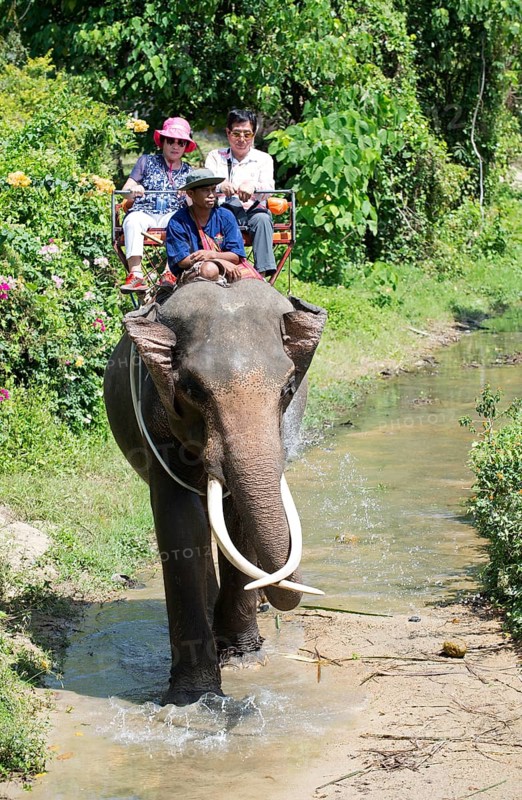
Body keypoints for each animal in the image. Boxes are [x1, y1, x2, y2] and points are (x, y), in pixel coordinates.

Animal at [104, 279, 327, 706]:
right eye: (192, 389)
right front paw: (192, 697)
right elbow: (180, 522)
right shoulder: (155, 423)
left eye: (289, 387)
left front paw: (242, 659)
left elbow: (237, 520)